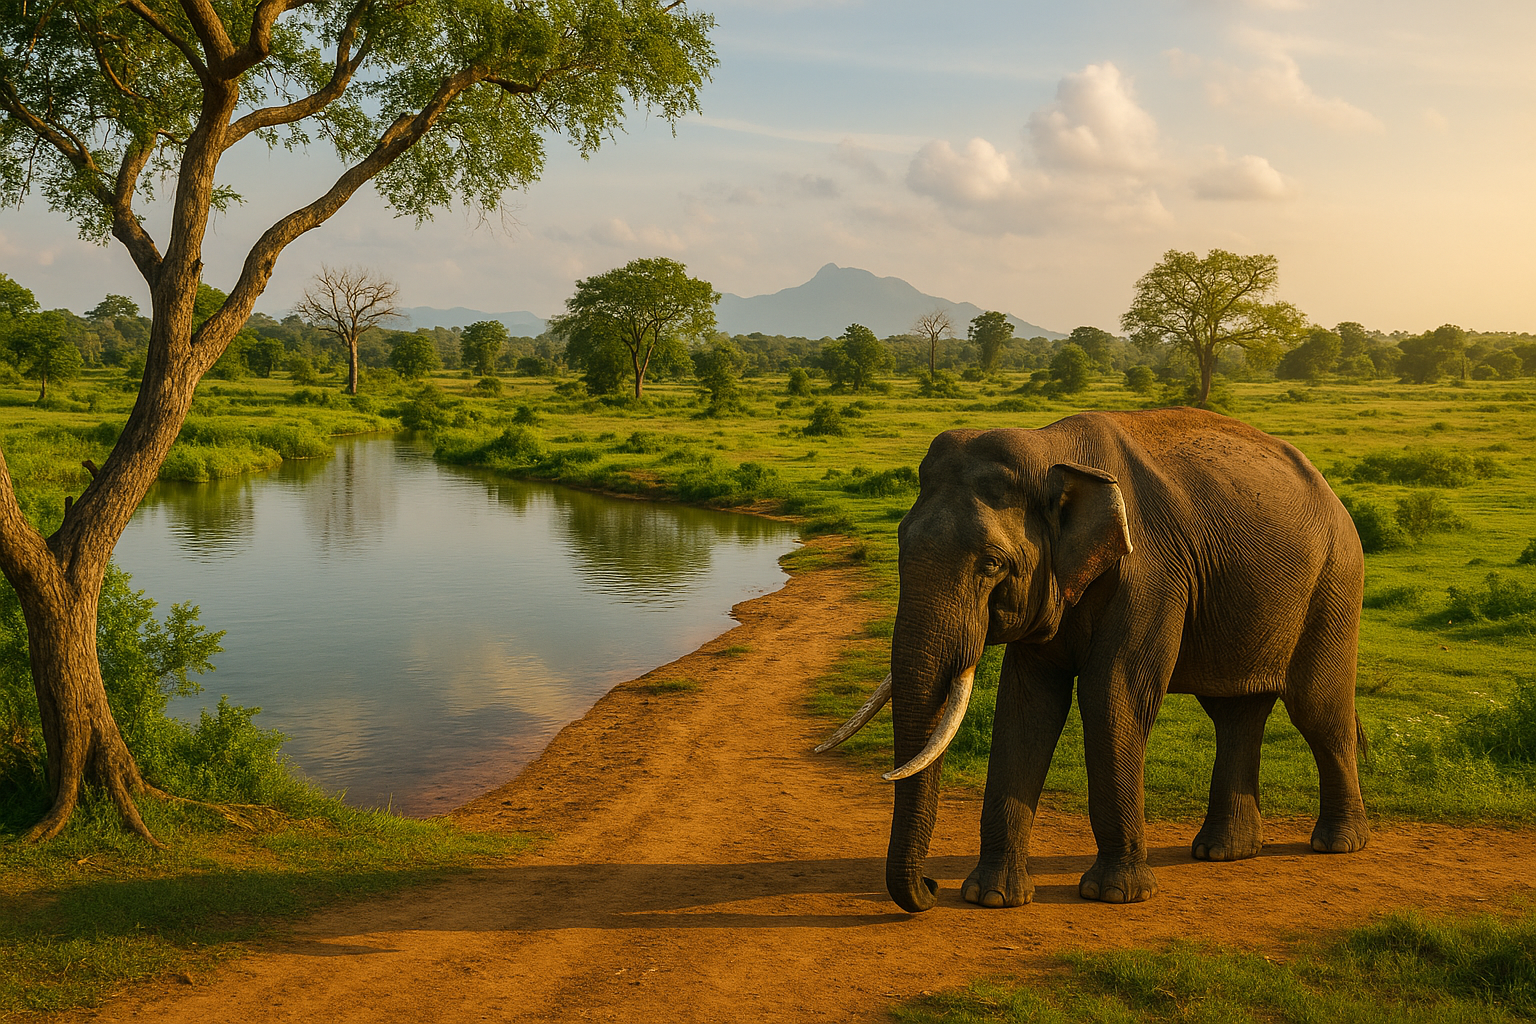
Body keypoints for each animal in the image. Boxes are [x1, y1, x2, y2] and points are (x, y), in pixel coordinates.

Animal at [818, 407, 1370, 913]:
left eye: (992, 564)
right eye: (900, 544)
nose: (931, 887)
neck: (1051, 451)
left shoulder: (1150, 574)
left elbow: (1113, 695)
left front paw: (1115, 895)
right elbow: (1027, 705)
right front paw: (991, 897)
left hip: (1336, 580)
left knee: (1317, 709)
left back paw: (1337, 843)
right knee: (1235, 711)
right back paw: (1223, 852)